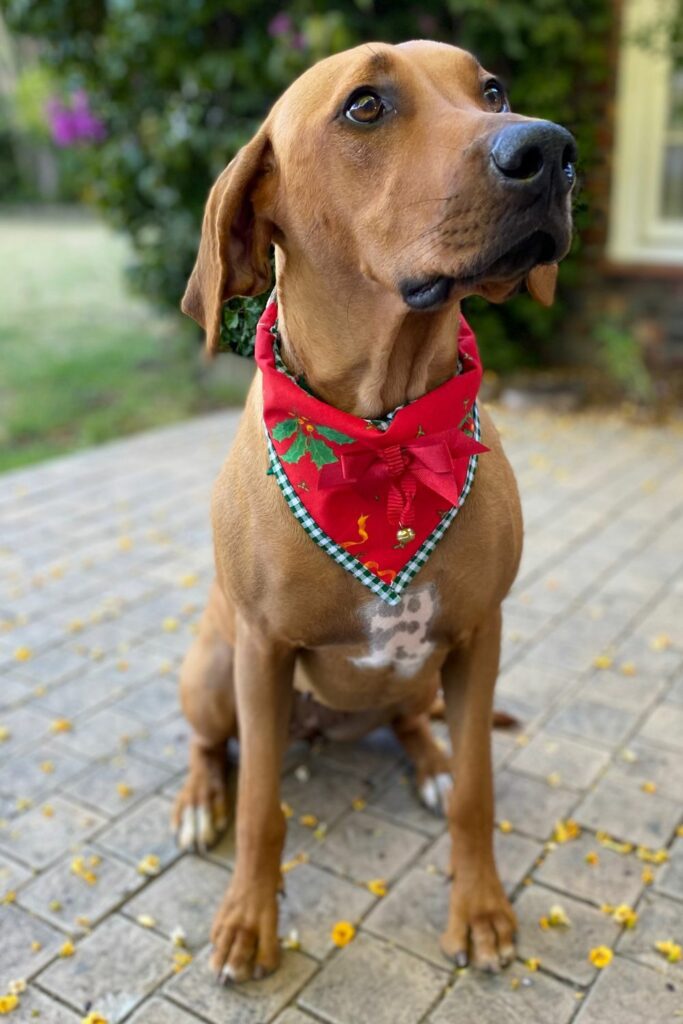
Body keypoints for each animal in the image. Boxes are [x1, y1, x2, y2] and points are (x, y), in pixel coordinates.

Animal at [174, 39, 573, 978]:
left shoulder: (480, 633)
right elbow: (261, 806)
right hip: (213, 665)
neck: (383, 436)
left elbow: (477, 789)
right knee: (213, 747)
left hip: (423, 673)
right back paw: (201, 797)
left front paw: (481, 909)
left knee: (414, 722)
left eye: (492, 90)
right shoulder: (259, 650)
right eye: (364, 106)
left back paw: (427, 757)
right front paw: (247, 921)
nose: (548, 150)